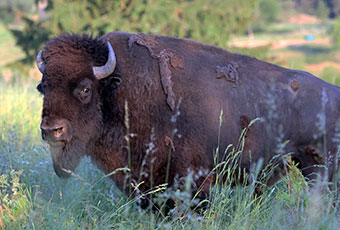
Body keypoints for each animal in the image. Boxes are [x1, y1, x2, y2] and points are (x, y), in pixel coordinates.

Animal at [36, 31, 340, 209]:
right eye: (43, 87)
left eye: (85, 88)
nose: (52, 130)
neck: (119, 89)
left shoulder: (190, 178)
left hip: (320, 166)